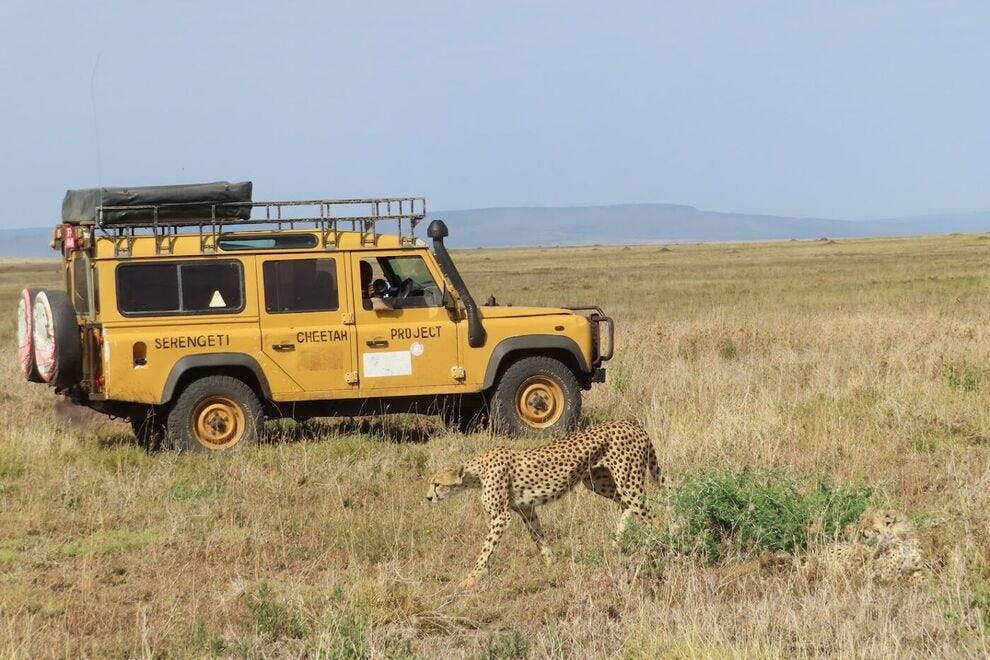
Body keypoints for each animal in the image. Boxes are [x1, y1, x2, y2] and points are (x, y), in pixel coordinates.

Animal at [426, 420, 661, 589]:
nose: (428, 498)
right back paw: (617, 541)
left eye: (437, 484)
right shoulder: (526, 510)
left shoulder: (501, 516)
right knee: (626, 505)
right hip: (597, 482)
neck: (477, 472)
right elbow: (538, 537)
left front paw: (470, 578)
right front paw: (551, 564)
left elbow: (486, 549)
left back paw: (653, 548)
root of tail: (632, 424)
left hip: (628, 481)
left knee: (653, 517)